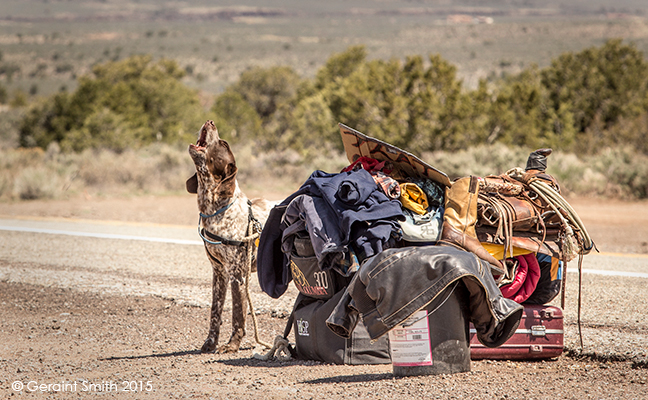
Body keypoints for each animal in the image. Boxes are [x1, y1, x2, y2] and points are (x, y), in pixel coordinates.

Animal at [186, 119, 272, 354]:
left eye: (223, 143)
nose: (210, 121)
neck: (216, 208)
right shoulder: (219, 272)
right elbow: (215, 312)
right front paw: (210, 342)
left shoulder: (237, 274)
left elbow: (237, 314)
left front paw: (232, 344)